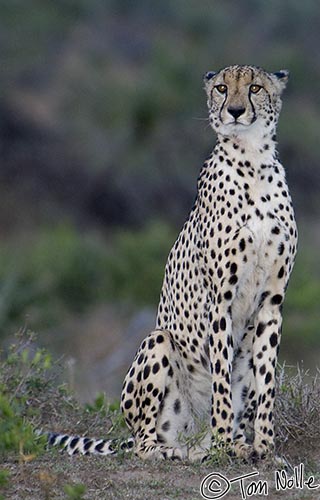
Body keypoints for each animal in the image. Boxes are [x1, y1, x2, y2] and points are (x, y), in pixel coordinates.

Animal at [49, 64, 298, 462]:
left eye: (255, 88)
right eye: (222, 88)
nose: (235, 111)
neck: (253, 161)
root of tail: (193, 437)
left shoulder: (272, 302)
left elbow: (266, 381)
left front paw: (264, 446)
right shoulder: (221, 300)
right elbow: (221, 381)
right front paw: (228, 443)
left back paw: (228, 443)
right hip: (158, 343)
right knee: (143, 442)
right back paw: (183, 450)